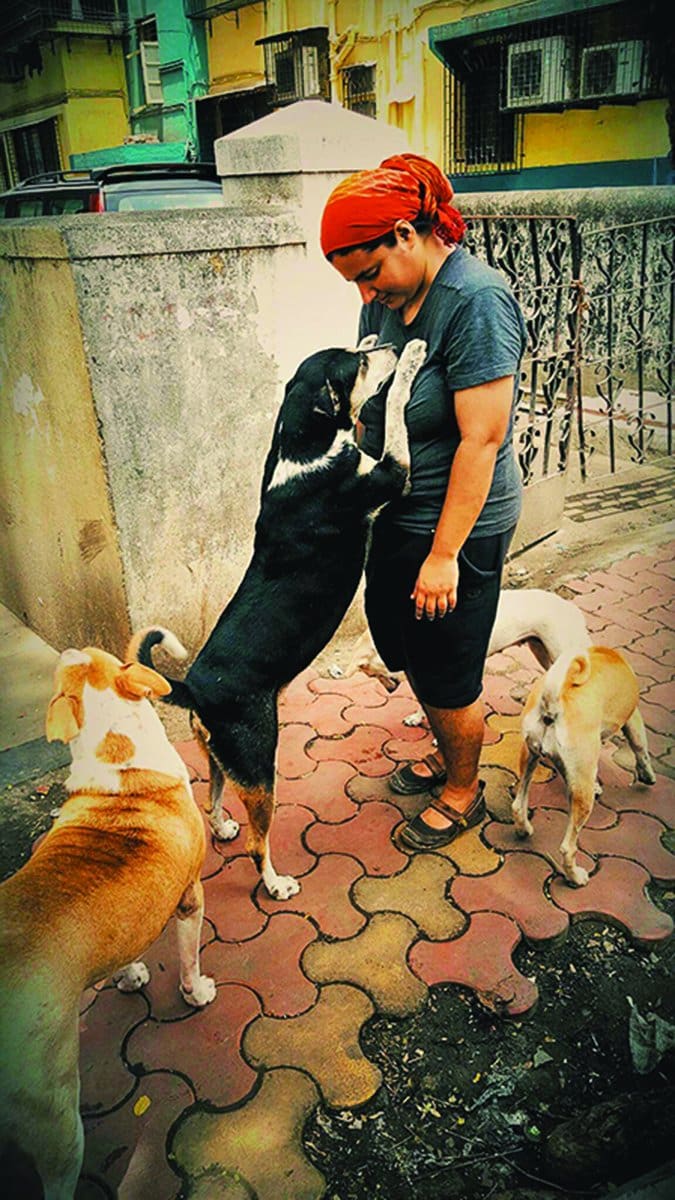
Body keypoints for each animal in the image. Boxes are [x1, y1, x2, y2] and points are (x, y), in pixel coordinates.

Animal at [0, 648, 213, 1200]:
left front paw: (130, 976)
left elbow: (123, 950)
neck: (121, 762)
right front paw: (196, 993)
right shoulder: (190, 898)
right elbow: (188, 960)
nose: (68, 650)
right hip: (57, 1123)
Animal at [132, 333, 425, 897]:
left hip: (223, 756)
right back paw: (275, 883)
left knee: (213, 796)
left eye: (356, 349)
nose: (386, 341)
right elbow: (398, 409)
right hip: (260, 765)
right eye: (357, 365)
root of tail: (196, 688)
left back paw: (223, 825)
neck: (303, 447)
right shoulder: (391, 472)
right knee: (256, 841)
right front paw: (411, 363)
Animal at [509, 643, 653, 888]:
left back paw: (524, 829)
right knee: (568, 847)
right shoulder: (633, 717)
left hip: (529, 756)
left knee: (518, 804)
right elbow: (640, 745)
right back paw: (576, 877)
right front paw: (647, 775)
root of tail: (554, 703)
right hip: (582, 791)